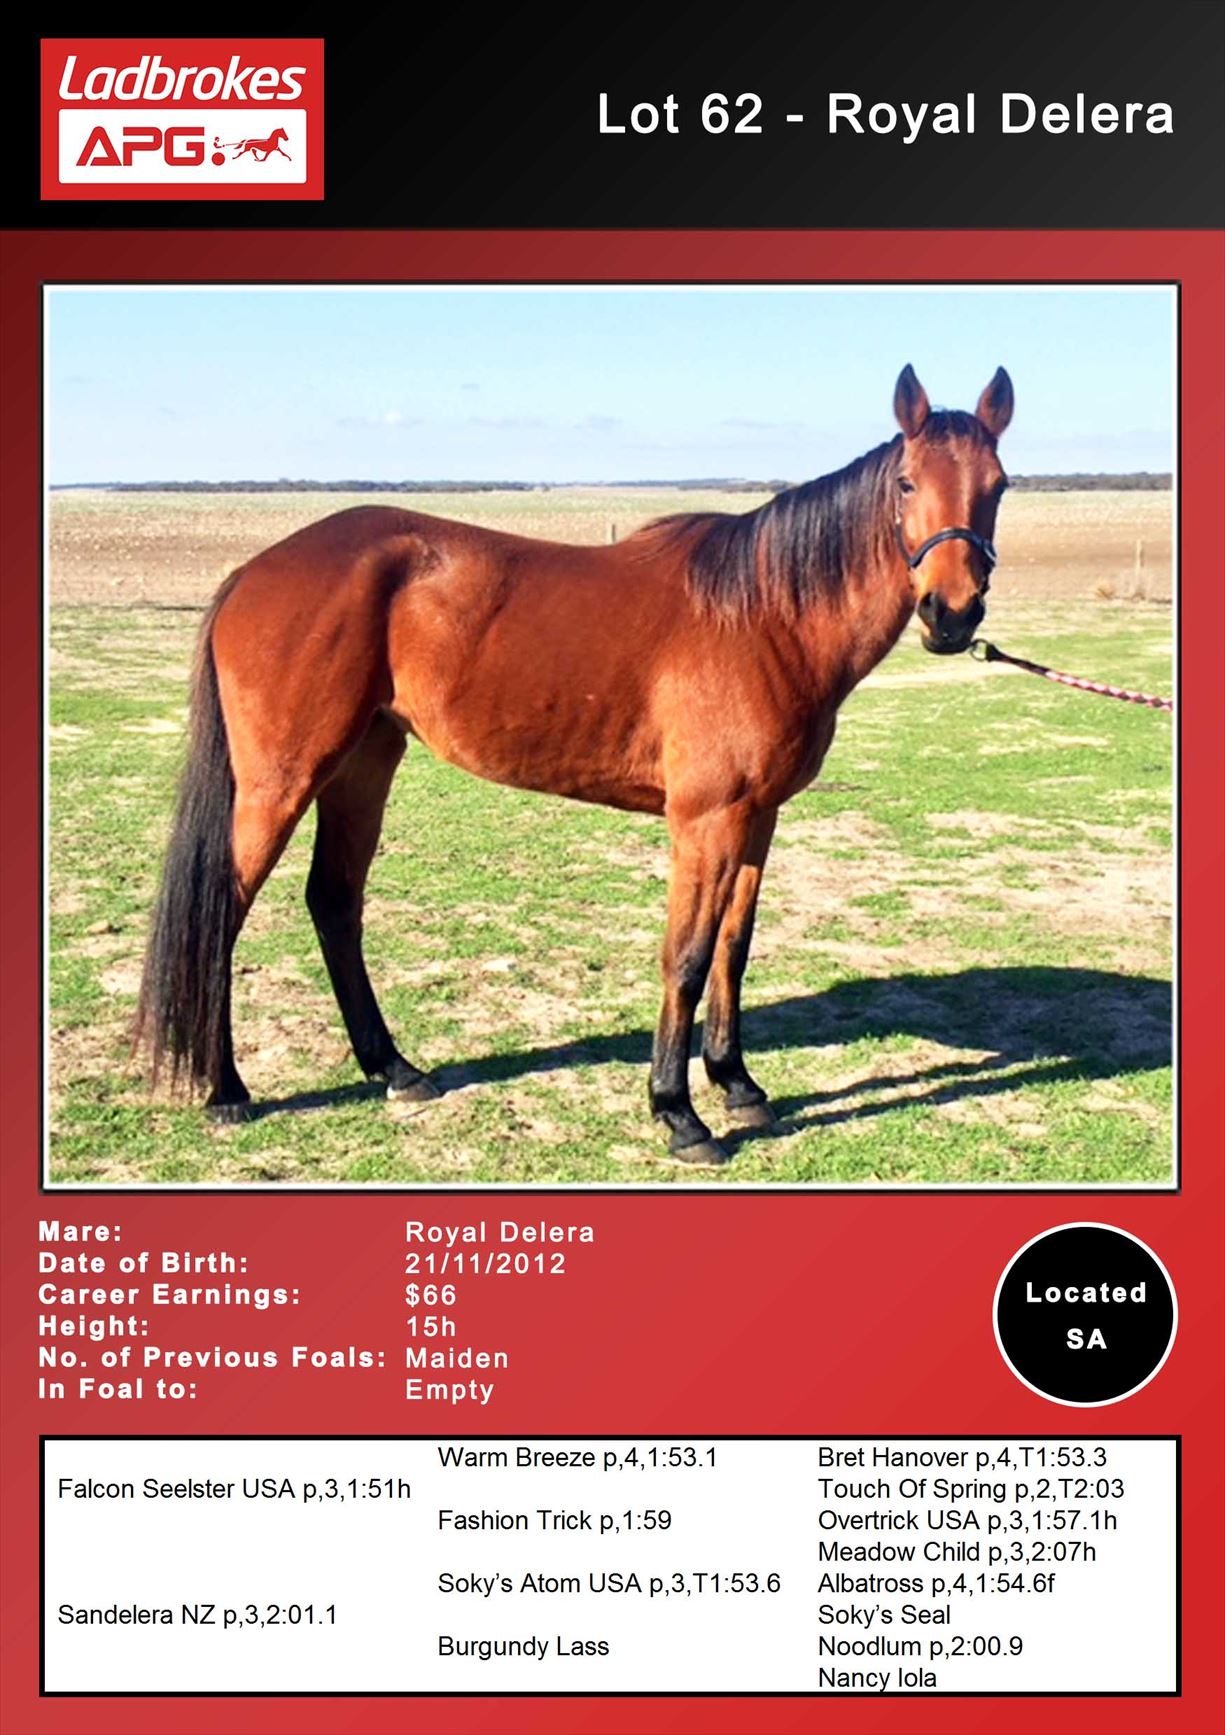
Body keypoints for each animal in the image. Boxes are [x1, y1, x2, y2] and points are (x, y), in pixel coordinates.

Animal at [136, 364, 1013, 1164]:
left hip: (363, 761)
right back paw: (225, 1089)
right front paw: (677, 1112)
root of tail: (253, 572)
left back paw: (395, 1069)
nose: (950, 612)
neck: (764, 613)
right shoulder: (706, 819)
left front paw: (736, 1084)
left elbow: (733, 947)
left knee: (333, 901)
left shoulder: (757, 816)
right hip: (281, 779)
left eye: (998, 486)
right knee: (224, 910)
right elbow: (685, 956)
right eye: (905, 481)